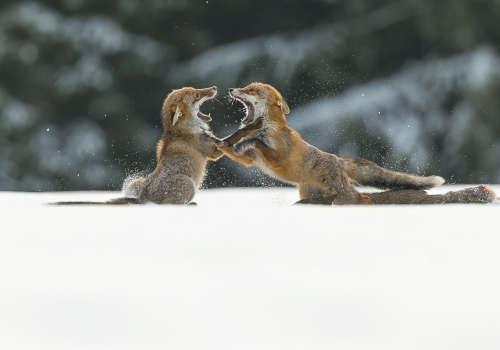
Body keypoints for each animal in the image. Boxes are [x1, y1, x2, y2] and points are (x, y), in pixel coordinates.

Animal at [215, 83, 496, 205]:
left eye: (251, 90)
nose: (230, 89)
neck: (268, 128)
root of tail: (339, 160)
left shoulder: (278, 157)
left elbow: (257, 142)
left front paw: (246, 136)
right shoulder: (252, 160)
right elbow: (239, 151)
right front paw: (221, 143)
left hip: (341, 194)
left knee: (363, 198)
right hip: (311, 193)